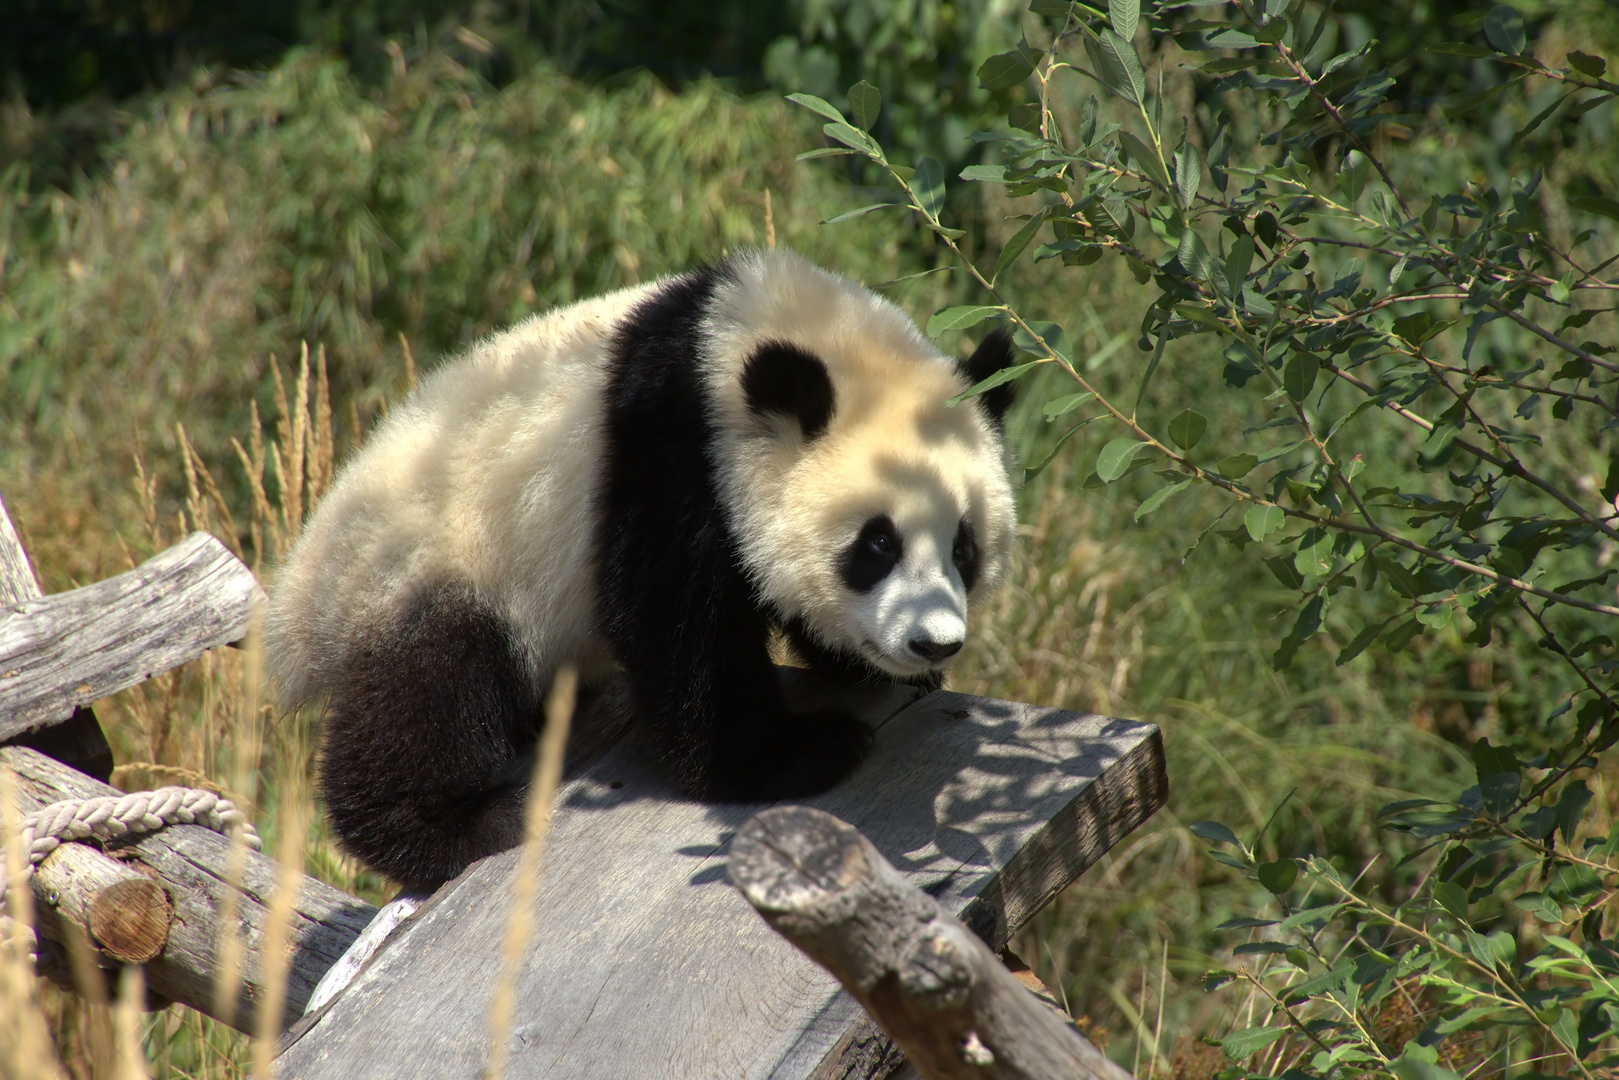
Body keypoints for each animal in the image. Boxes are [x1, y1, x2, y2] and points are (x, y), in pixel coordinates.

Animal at [271, 249, 1016, 893]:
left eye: (964, 548)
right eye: (877, 545)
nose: (933, 643)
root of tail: (302, 599)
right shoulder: (667, 446)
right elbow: (675, 623)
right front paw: (797, 751)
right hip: (429, 560)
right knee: (430, 688)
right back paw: (457, 824)